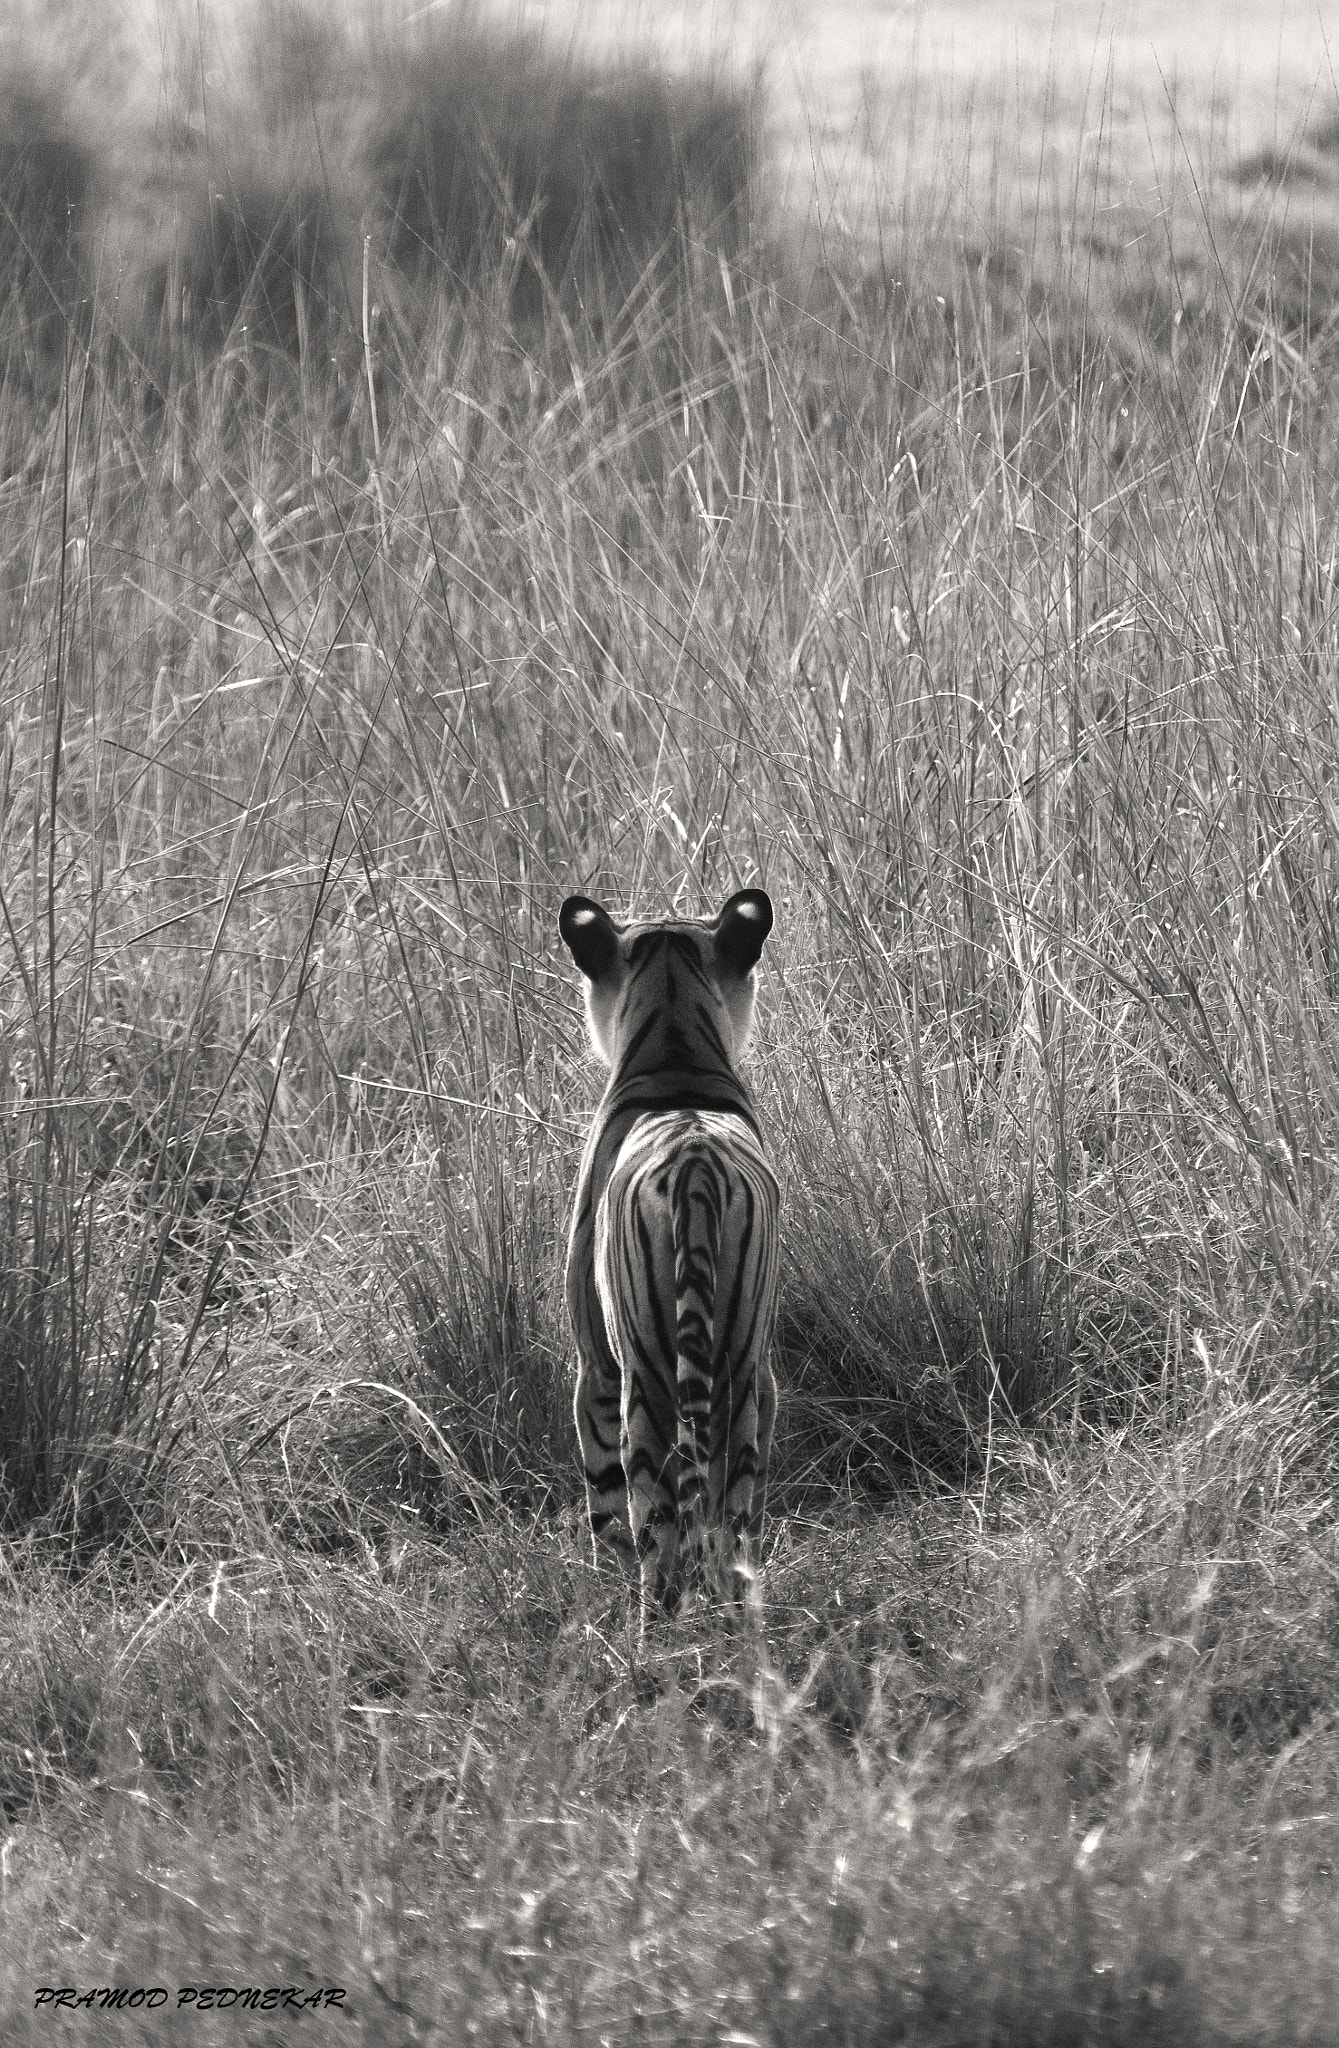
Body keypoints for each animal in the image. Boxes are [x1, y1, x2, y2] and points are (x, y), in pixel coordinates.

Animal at [560, 887, 781, 1632]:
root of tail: (695, 1168)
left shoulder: (595, 1365)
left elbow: (603, 1507)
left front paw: (597, 1587)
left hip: (642, 1384)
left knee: (655, 1526)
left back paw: (652, 1632)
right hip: (740, 1373)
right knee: (731, 1520)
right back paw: (737, 1625)